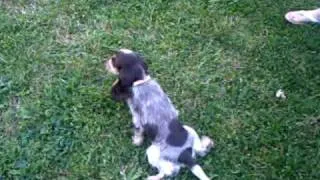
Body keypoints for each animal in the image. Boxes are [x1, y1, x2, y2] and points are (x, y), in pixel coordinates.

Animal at [105, 48, 215, 180]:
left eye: (114, 60)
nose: (106, 62)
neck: (142, 81)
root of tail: (186, 156)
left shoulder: (137, 119)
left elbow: (138, 133)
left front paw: (136, 142)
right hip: (189, 130)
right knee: (198, 149)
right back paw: (207, 143)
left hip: (152, 152)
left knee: (166, 172)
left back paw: (152, 177)